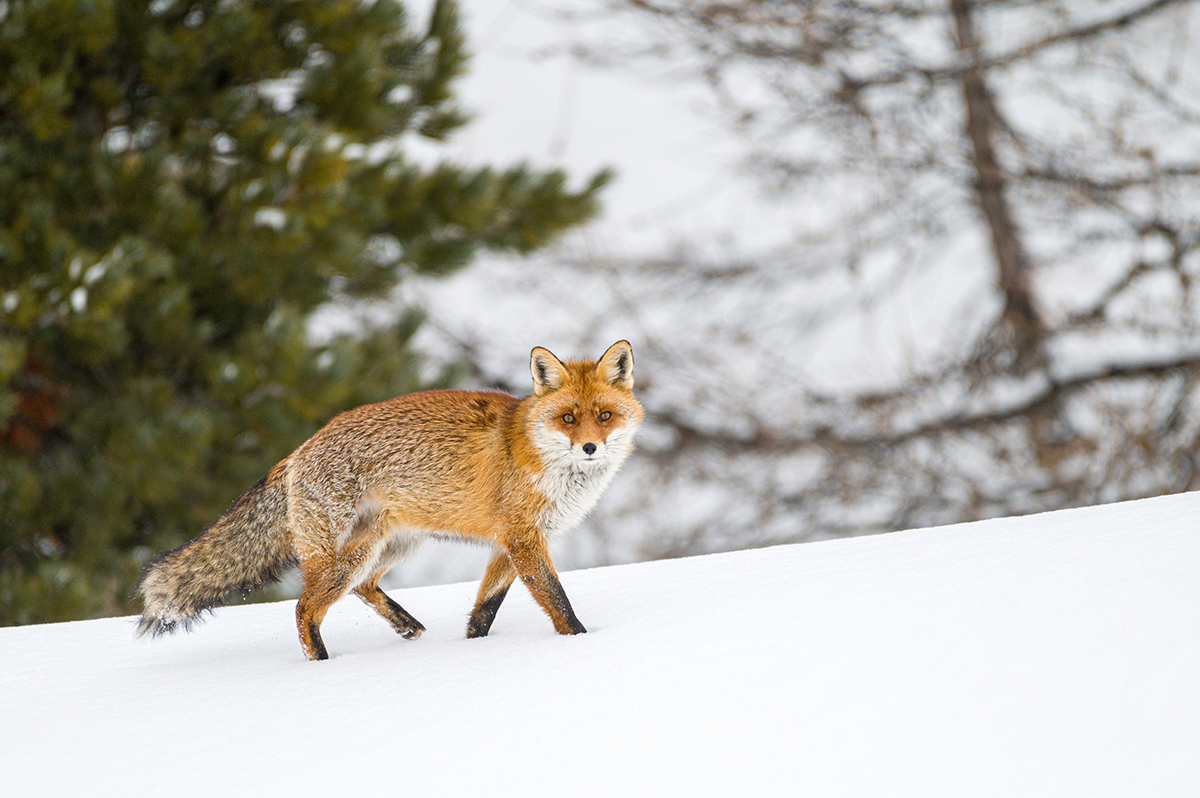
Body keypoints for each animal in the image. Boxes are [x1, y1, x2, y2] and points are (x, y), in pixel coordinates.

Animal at [136, 343, 643, 657]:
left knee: (362, 587)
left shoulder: (509, 543)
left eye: (604, 416)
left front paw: (474, 647)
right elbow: (557, 600)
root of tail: (296, 452)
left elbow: (485, 609)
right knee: (304, 609)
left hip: (389, 545)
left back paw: (407, 626)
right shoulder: (523, 538)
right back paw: (322, 664)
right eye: (568, 418)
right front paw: (580, 641)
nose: (590, 448)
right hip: (343, 556)